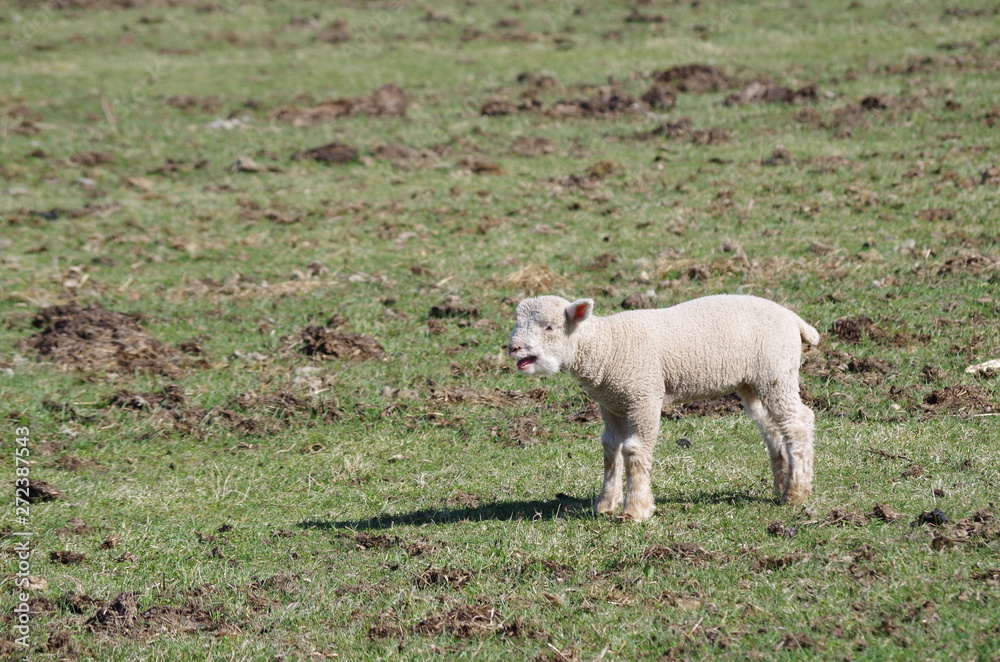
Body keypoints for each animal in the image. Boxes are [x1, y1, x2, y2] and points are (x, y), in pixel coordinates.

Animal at [508, 296, 820, 524]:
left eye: (550, 327)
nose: (513, 348)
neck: (607, 346)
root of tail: (793, 318)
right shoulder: (611, 405)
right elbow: (610, 449)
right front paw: (605, 504)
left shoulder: (644, 398)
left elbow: (634, 450)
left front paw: (636, 509)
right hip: (753, 383)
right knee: (772, 427)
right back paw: (782, 485)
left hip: (776, 371)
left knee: (798, 422)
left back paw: (796, 493)